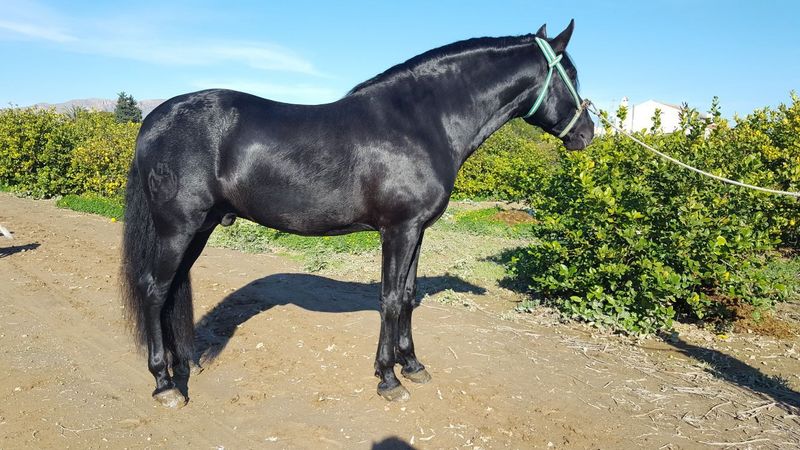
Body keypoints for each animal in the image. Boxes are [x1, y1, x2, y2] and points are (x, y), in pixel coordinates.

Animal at [121, 20, 594, 408]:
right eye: (570, 74)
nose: (587, 134)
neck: (422, 122)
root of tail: (154, 119)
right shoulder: (398, 229)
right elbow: (389, 298)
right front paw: (388, 378)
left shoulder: (417, 230)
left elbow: (407, 295)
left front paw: (413, 365)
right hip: (177, 227)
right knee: (155, 290)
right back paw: (164, 384)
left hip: (199, 228)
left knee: (174, 288)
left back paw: (184, 365)